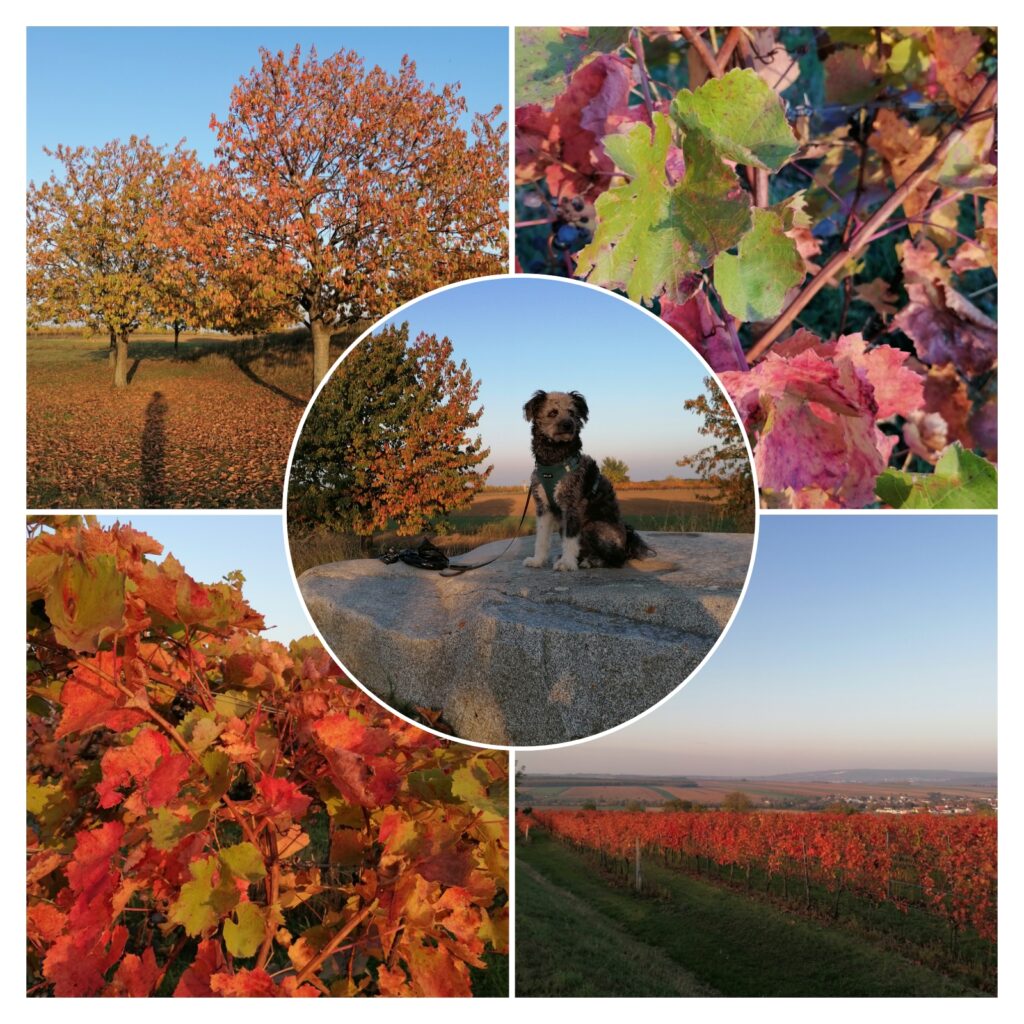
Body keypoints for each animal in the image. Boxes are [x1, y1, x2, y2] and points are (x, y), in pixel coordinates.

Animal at [520, 387, 655, 573]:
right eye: (553, 412)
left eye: (572, 412)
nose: (569, 425)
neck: (553, 460)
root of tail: (628, 540)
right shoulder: (543, 508)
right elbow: (541, 538)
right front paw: (538, 560)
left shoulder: (572, 506)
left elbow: (570, 540)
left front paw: (567, 563)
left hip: (593, 526)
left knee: (617, 559)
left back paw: (591, 561)